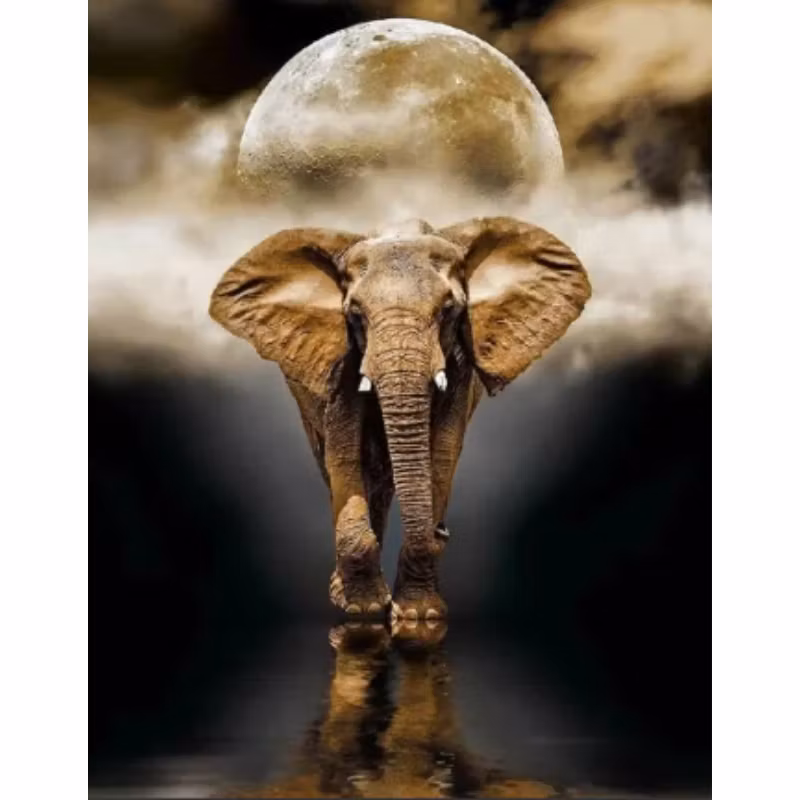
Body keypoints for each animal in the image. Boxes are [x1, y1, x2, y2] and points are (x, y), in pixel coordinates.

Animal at [209, 216, 591, 620]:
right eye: (355, 314)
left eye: (448, 310)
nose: (443, 531)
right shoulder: (344, 360)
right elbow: (345, 453)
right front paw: (361, 610)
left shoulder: (459, 365)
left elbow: (442, 452)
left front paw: (418, 616)